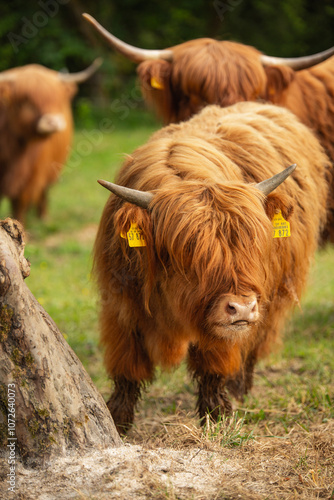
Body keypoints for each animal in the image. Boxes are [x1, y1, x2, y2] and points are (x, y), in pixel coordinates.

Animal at [0, 57, 102, 222]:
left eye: (57, 99)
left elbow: (20, 202)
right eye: (27, 101)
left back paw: (44, 218)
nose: (53, 122)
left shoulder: (32, 175)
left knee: (44, 191)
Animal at [93, 101, 328, 434]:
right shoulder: (121, 306)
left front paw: (217, 418)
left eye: (253, 245)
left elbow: (213, 367)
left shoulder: (227, 324)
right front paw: (117, 421)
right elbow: (126, 369)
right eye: (189, 251)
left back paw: (239, 388)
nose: (242, 308)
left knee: (254, 343)